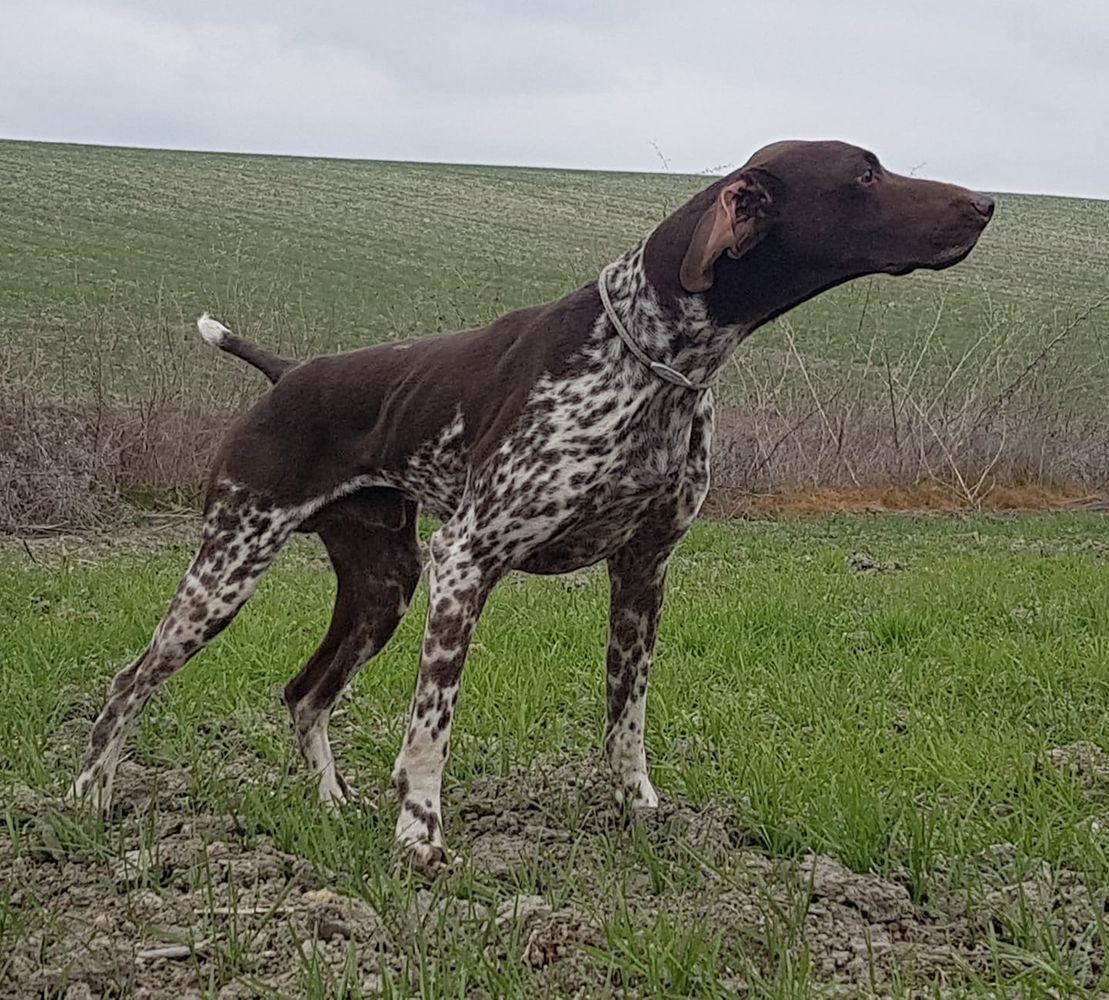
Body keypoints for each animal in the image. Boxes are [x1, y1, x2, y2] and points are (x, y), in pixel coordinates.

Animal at [71, 139, 998, 869]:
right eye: (866, 174)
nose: (988, 203)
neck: (650, 359)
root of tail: (289, 373)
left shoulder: (642, 573)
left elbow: (626, 719)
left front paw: (640, 813)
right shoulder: (467, 562)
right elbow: (430, 729)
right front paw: (419, 837)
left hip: (382, 586)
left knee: (305, 693)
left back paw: (331, 805)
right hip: (230, 569)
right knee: (129, 681)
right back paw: (90, 797)